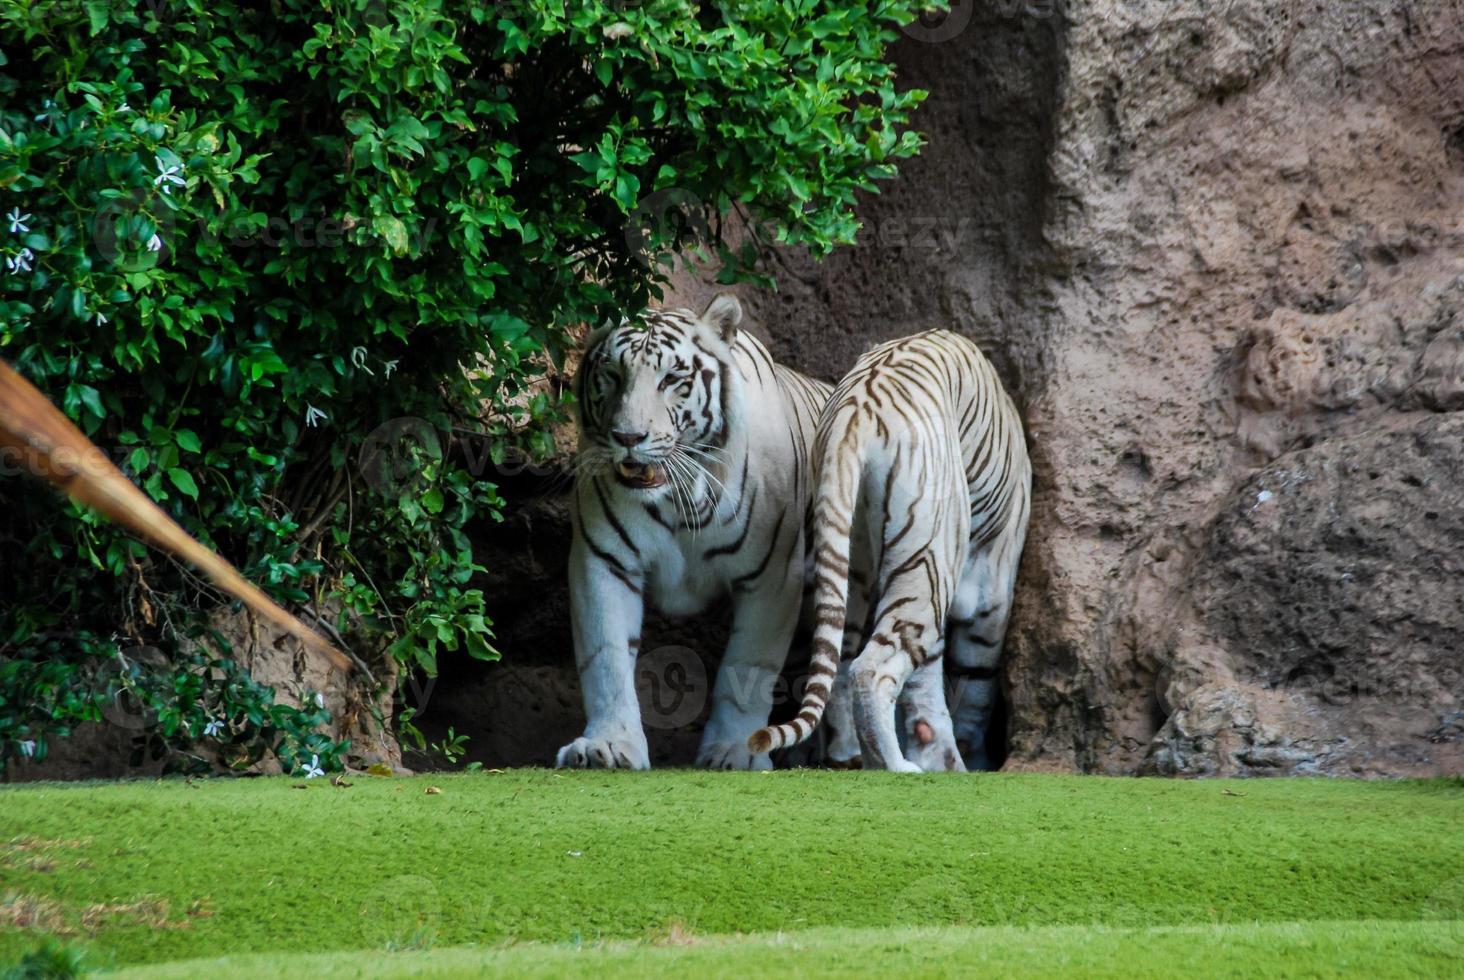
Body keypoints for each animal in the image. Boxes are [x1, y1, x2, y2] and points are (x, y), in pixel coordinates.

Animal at [553, 294, 831, 767]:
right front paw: (608, 744)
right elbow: (605, 657)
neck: (675, 499)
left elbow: (749, 668)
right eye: (613, 375)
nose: (628, 437)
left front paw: (736, 749)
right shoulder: (604, 561)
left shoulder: (773, 575)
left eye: (671, 379)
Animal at [749, 328, 1036, 773]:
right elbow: (976, 678)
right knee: (871, 668)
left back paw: (852, 755)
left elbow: (927, 679)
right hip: (928, 555)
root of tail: (853, 413)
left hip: (851, 559)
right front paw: (970, 754)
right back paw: (893, 765)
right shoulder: (992, 582)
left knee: (843, 660)